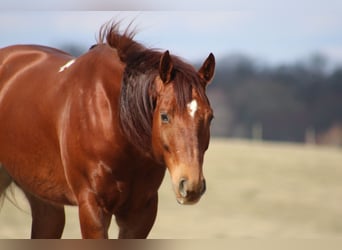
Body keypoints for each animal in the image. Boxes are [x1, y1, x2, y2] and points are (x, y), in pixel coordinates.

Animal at [0, 22, 215, 238]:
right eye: (164, 116)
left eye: (210, 117)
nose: (191, 185)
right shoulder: (92, 207)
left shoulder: (140, 212)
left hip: (44, 200)